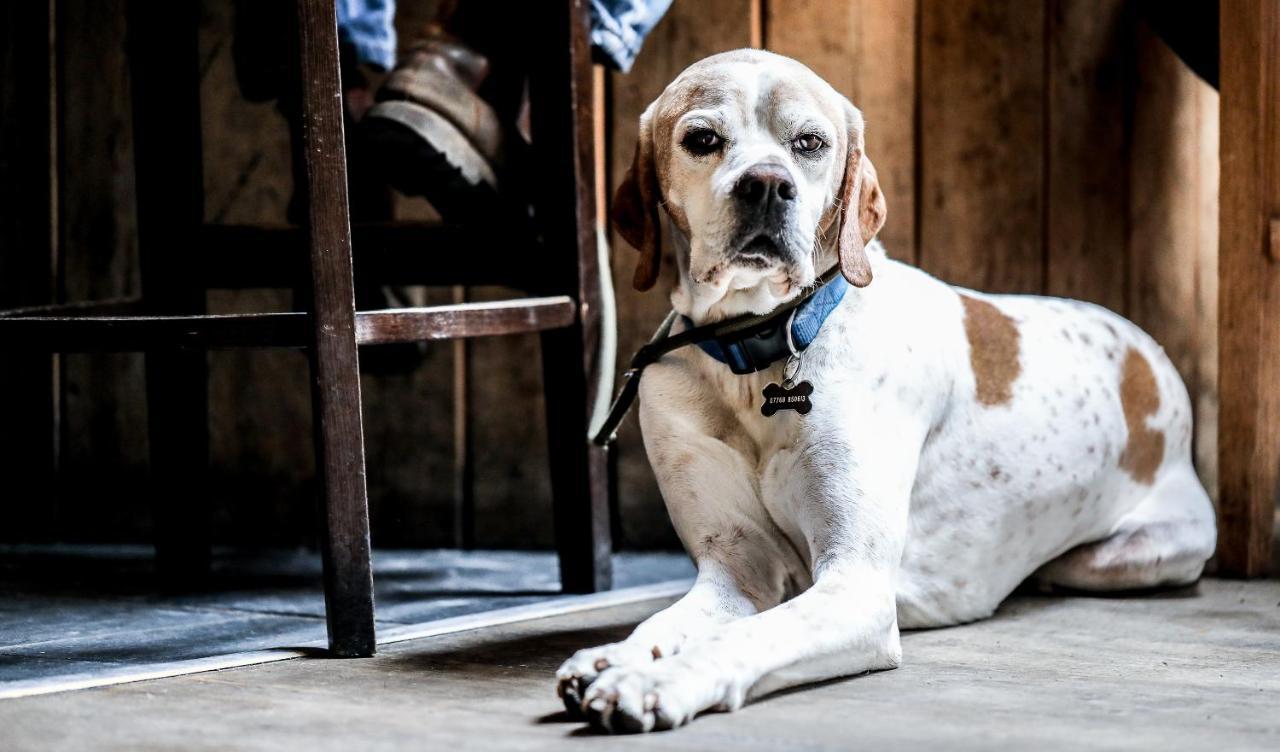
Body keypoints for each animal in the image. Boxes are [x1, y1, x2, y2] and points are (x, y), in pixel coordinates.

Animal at [555, 51, 1213, 736]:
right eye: (702, 139)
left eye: (809, 143)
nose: (767, 184)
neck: (758, 352)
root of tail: (1151, 354)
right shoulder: (737, 568)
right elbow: (667, 624)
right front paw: (614, 656)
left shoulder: (855, 585)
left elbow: (745, 638)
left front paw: (653, 682)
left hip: (1135, 556)